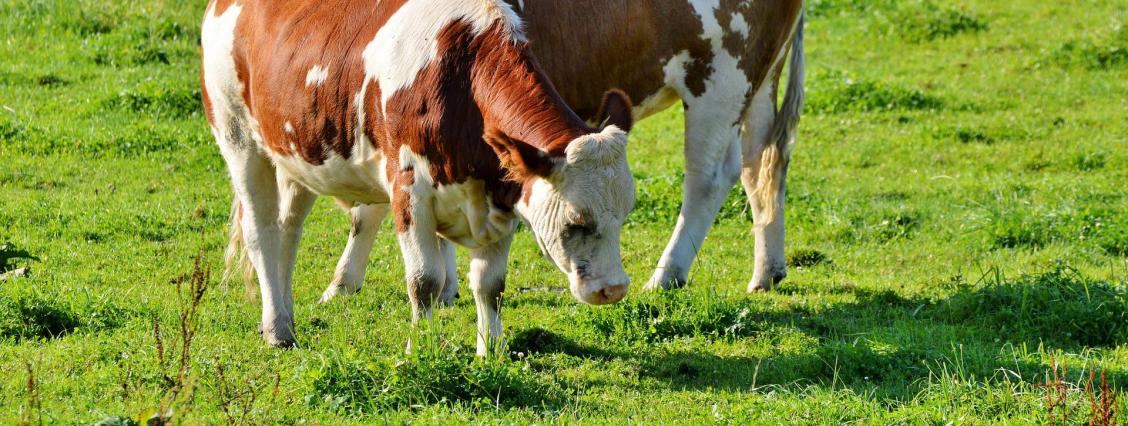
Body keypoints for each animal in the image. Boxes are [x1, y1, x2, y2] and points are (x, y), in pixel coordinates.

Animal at [200, 0, 636, 353]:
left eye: (625, 214)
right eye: (576, 221)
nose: (613, 289)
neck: (462, 76)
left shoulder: (500, 196)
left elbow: (491, 285)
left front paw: (491, 354)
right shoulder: (409, 190)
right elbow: (424, 281)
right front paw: (420, 351)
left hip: (297, 152)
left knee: (286, 233)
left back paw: (284, 318)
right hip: (237, 135)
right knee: (261, 232)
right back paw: (277, 330)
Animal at [322, 0, 807, 306]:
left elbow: (373, 207)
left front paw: (344, 283)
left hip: (720, 80)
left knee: (710, 175)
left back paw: (667, 275)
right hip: (758, 81)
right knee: (762, 165)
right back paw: (767, 270)